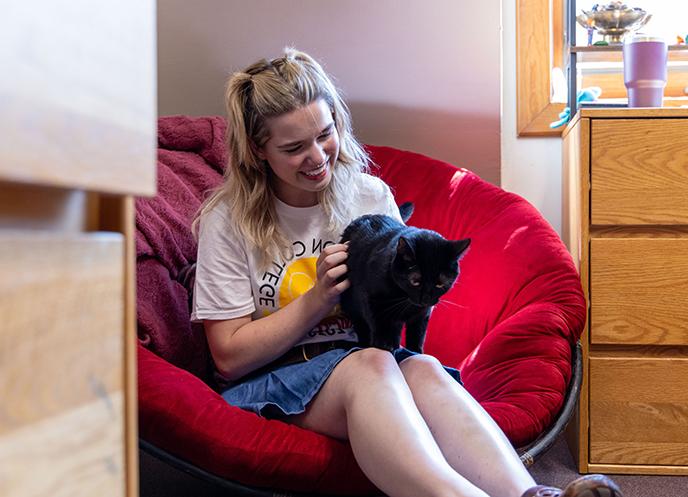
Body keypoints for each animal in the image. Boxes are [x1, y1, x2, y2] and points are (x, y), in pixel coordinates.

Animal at [340, 204, 470, 352]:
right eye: (415, 281)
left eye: (440, 284)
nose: (426, 298)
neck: (404, 297)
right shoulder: (370, 299)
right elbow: (378, 321)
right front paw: (383, 344)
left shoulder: (422, 314)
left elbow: (418, 333)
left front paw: (415, 350)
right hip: (351, 303)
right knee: (362, 325)